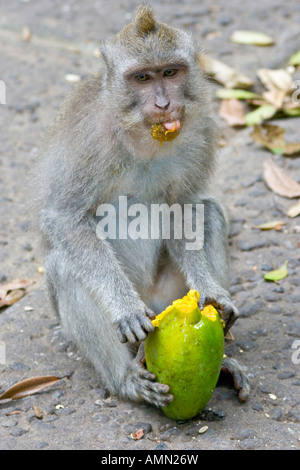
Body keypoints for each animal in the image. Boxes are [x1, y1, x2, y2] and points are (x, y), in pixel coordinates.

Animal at [35, 3, 250, 408]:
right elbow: (65, 218)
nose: (164, 103)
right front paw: (125, 308)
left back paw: (223, 361)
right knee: (63, 265)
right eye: (142, 78)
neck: (143, 135)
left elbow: (186, 207)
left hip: (169, 295)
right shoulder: (89, 139)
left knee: (211, 213)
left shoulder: (200, 132)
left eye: (170, 72)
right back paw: (127, 377)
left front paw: (212, 291)